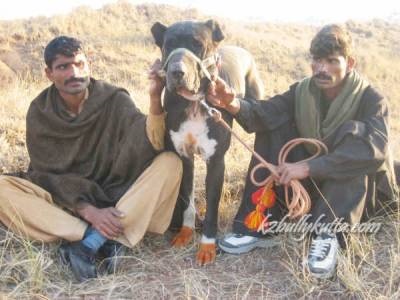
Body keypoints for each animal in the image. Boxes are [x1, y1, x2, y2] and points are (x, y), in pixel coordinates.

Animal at [152, 19, 264, 264]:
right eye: (168, 45)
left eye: (198, 45)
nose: (177, 72)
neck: (195, 103)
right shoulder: (184, 156)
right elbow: (186, 199)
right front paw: (185, 232)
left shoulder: (215, 161)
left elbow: (212, 205)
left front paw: (207, 245)